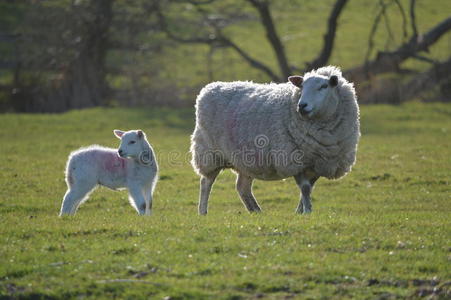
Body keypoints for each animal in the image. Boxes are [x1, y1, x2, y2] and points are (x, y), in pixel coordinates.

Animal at [191, 66, 360, 213]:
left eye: (324, 86)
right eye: (302, 87)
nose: (302, 106)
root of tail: (210, 88)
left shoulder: (321, 162)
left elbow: (309, 189)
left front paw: (301, 211)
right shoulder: (293, 158)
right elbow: (305, 188)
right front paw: (307, 212)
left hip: (246, 159)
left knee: (242, 187)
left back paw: (256, 211)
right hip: (209, 152)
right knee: (206, 182)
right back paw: (203, 211)